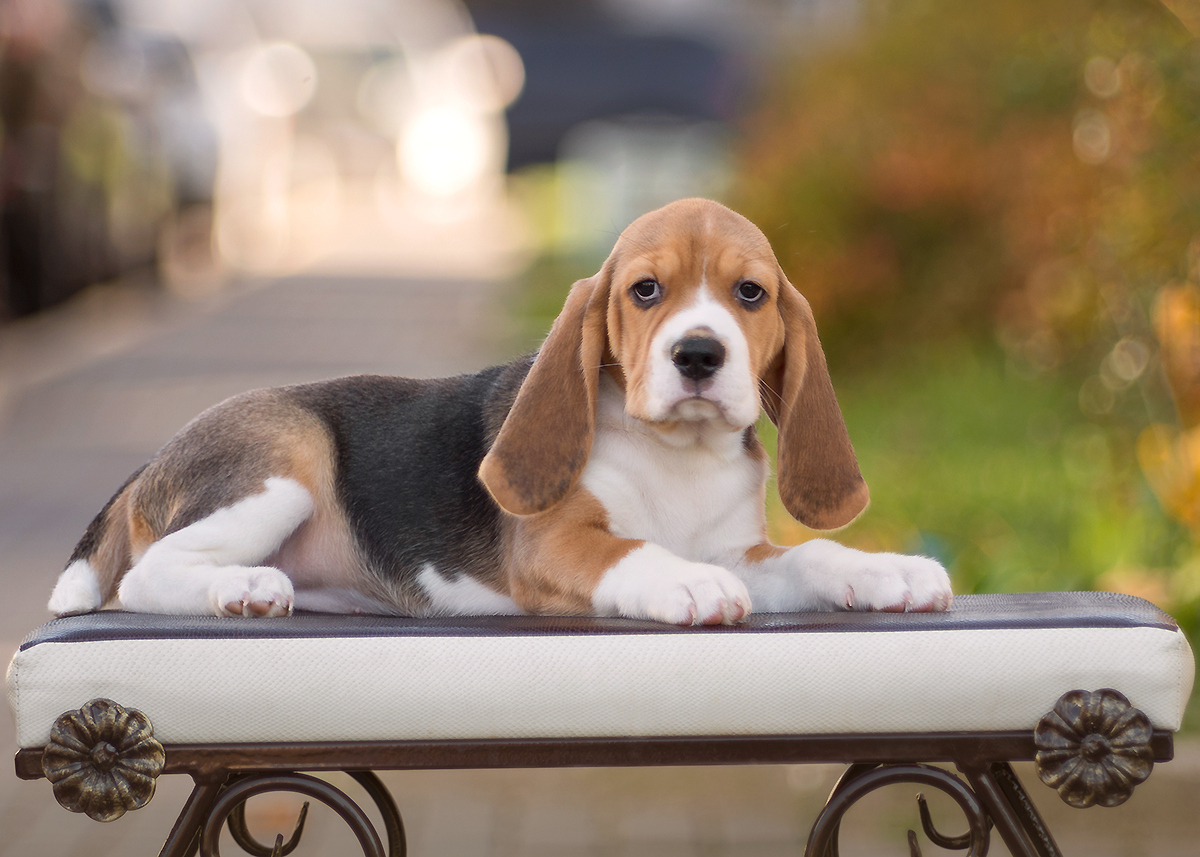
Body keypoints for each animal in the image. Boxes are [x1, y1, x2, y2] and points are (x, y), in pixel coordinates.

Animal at [46, 198, 950, 619]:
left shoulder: (742, 551)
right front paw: (683, 584)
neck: (678, 457)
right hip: (285, 464)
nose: (699, 354)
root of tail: (153, 457)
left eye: (750, 293)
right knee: (145, 577)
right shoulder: (553, 544)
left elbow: (812, 554)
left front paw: (889, 569)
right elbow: (630, 551)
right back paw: (242, 588)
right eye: (645, 290)